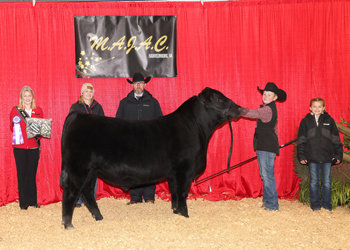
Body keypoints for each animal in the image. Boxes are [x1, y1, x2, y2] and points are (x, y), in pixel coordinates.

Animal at [60, 87, 241, 229]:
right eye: (218, 98)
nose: (239, 108)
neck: (196, 128)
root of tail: (78, 115)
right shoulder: (184, 171)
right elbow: (182, 194)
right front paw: (185, 216)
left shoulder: (173, 174)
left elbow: (174, 194)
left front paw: (176, 212)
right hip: (79, 169)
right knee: (70, 192)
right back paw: (68, 224)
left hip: (91, 172)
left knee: (87, 192)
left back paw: (98, 217)